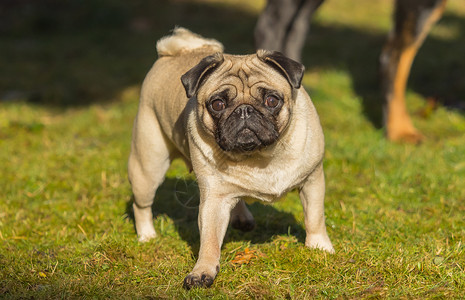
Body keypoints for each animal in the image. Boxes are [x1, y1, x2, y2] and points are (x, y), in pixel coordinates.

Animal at [128, 28, 334, 290]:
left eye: (272, 100)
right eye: (217, 104)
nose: (244, 110)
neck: (259, 156)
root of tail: (175, 51)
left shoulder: (312, 180)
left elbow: (315, 217)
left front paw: (319, 247)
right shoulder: (214, 200)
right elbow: (209, 241)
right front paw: (202, 271)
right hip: (148, 166)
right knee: (142, 204)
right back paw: (147, 235)